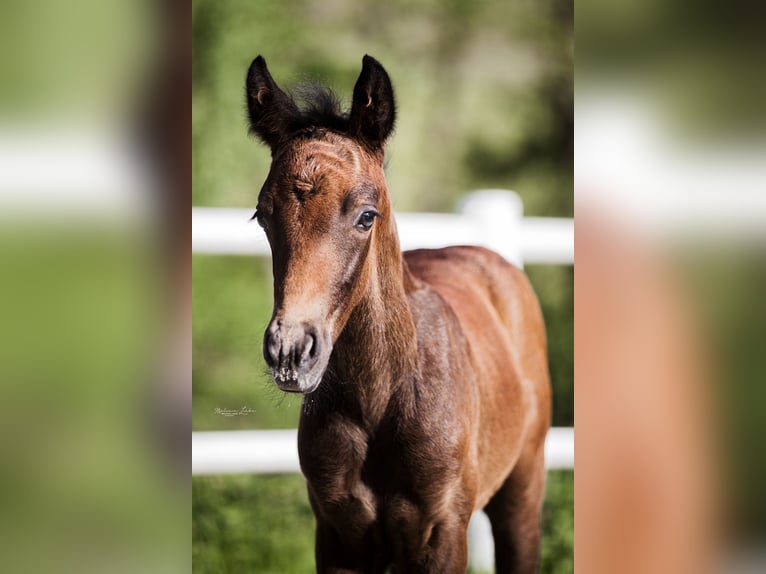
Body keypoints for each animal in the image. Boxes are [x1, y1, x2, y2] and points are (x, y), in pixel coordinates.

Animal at [246, 55, 552, 574]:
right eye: (263, 216)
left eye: (366, 215)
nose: (291, 351)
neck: (379, 400)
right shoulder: (337, 539)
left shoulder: (444, 535)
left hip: (522, 490)